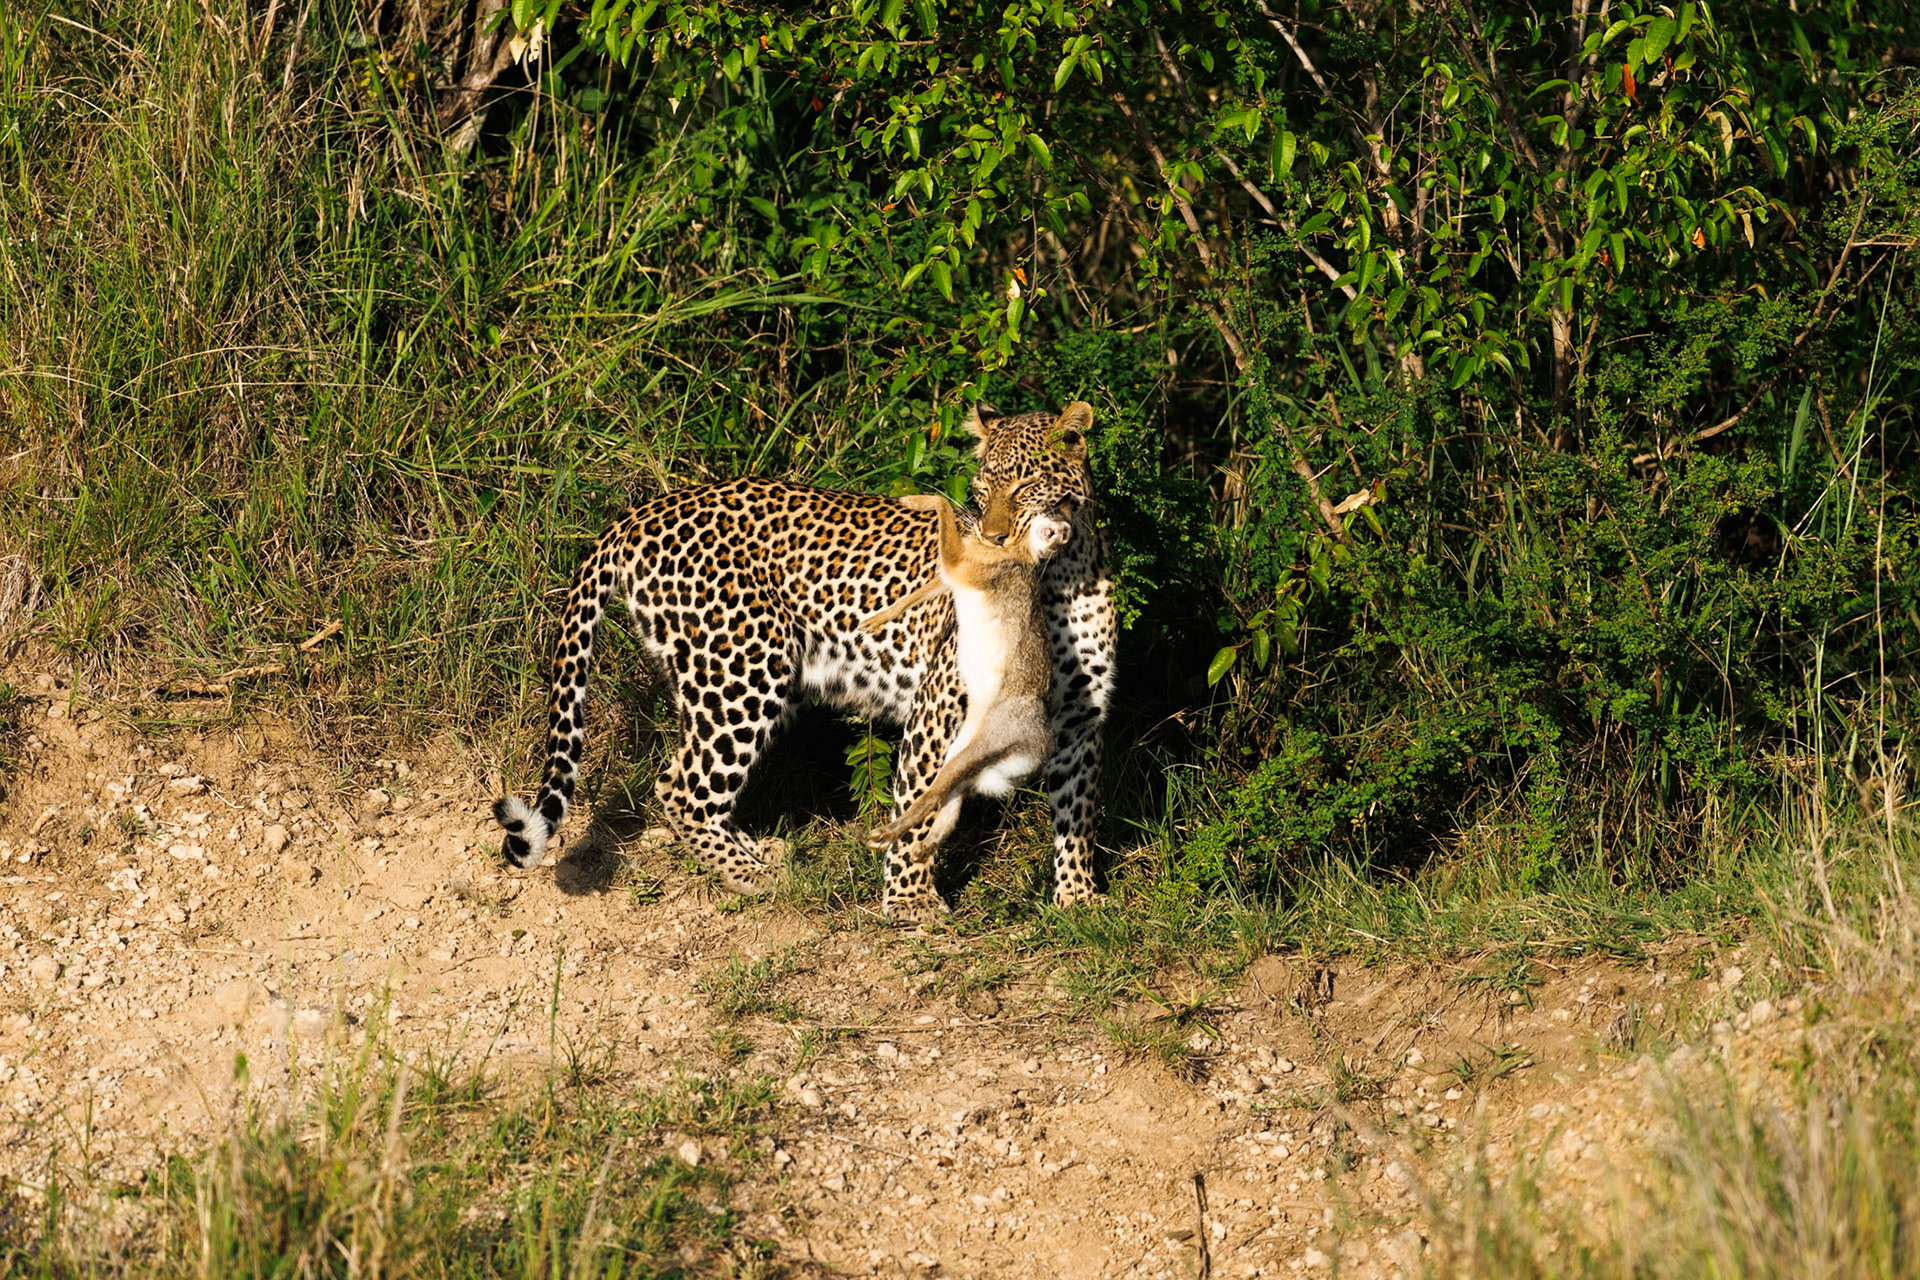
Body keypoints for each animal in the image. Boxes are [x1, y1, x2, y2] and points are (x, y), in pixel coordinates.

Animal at [492, 400, 1116, 922]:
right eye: (984, 489)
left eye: (1027, 484)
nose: (990, 535)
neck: (1063, 581)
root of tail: (644, 510)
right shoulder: (939, 709)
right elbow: (916, 808)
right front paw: (909, 904)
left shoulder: (1080, 722)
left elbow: (1077, 811)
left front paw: (1080, 899)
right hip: (745, 667)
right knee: (683, 787)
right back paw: (754, 876)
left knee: (690, 774)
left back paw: (755, 851)